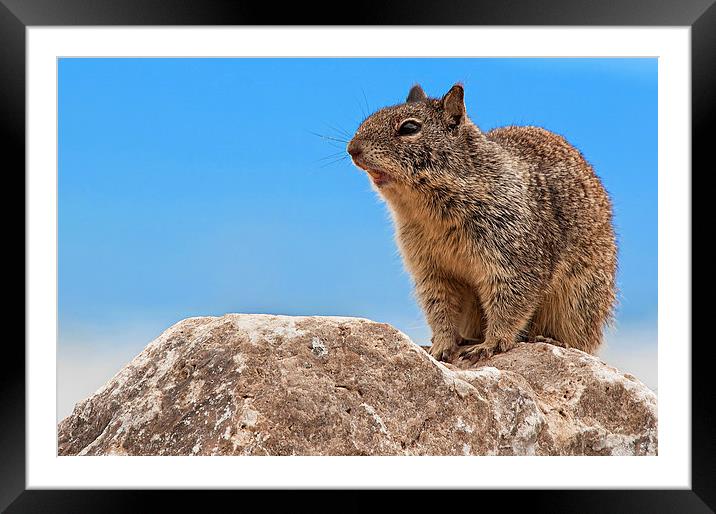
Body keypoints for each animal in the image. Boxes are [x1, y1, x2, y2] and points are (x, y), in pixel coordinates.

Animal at [346, 83, 616, 360]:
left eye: (409, 128)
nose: (352, 149)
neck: (430, 214)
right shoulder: (431, 271)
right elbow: (440, 310)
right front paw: (440, 347)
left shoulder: (514, 257)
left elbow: (509, 304)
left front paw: (491, 344)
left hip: (578, 301)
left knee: (579, 341)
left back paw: (548, 339)